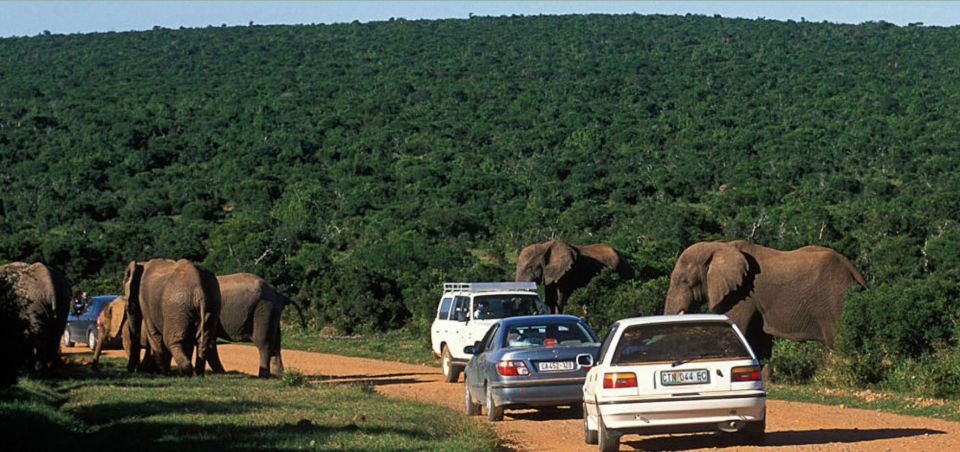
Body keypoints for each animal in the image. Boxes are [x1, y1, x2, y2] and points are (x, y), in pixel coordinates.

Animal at [664, 240, 868, 360]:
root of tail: (853, 269)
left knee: (838, 344)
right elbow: (759, 343)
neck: (719, 246)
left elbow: (738, 329)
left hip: (834, 300)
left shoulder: (743, 293)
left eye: (685, 281)